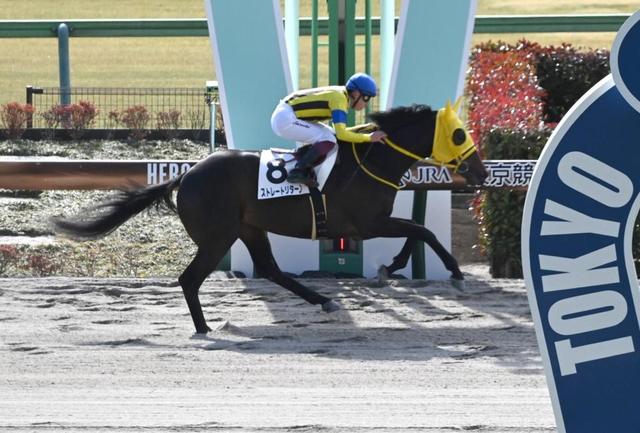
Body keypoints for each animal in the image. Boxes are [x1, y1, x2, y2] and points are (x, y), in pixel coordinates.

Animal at [52, 99, 488, 332]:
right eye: (460, 134)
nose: (482, 173)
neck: (372, 160)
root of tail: (187, 173)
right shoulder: (365, 223)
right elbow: (423, 230)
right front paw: (454, 273)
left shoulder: (372, 223)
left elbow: (418, 231)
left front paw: (391, 267)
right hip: (219, 236)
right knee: (190, 279)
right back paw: (204, 328)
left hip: (249, 228)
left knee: (271, 269)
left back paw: (323, 302)